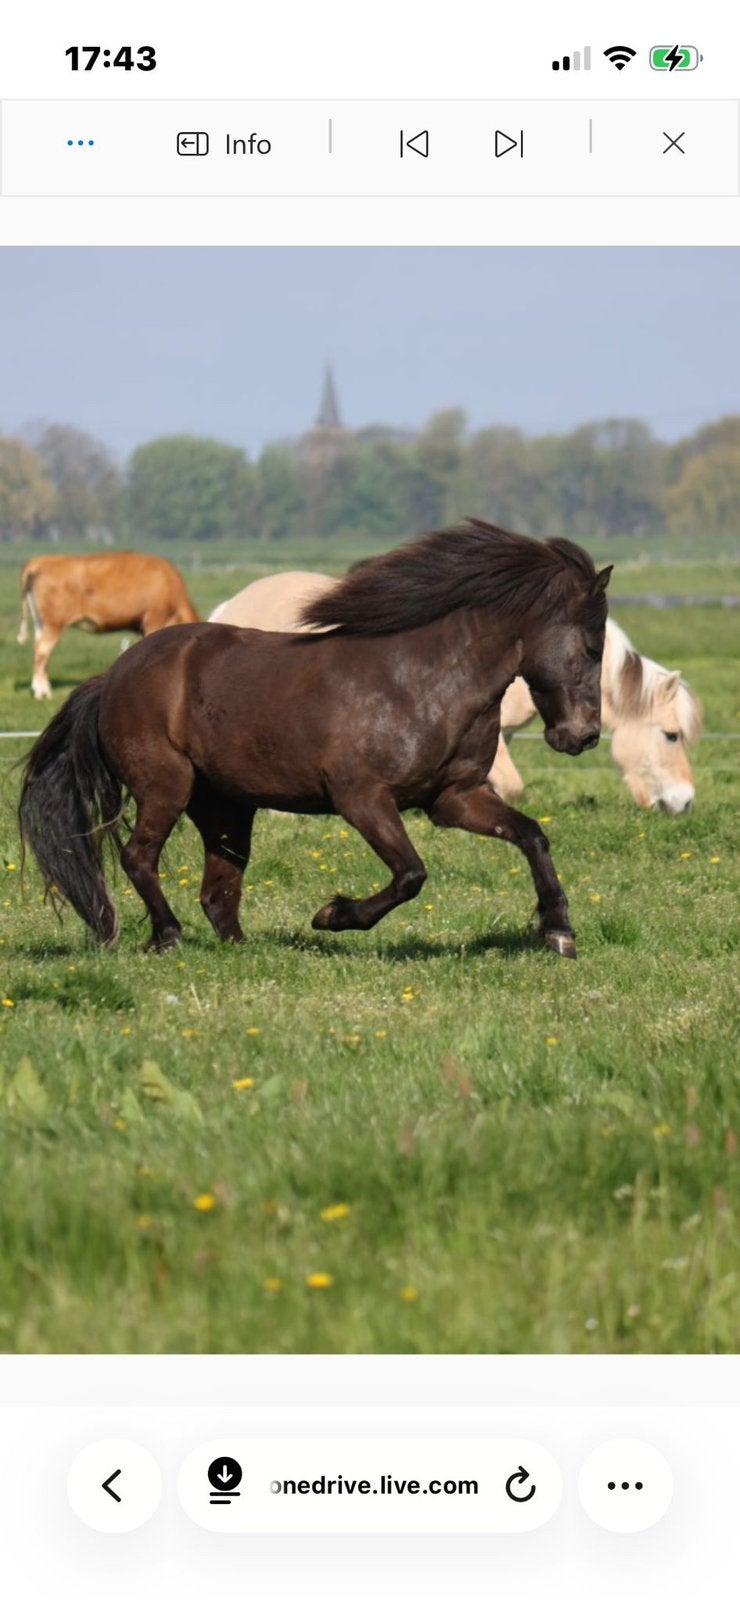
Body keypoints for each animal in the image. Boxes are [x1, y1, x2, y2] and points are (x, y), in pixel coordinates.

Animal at [17, 551, 199, 700]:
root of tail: (41, 561)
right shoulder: (154, 618)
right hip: (54, 623)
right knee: (42, 650)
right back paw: (40, 692)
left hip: (42, 623)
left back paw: (45, 688)